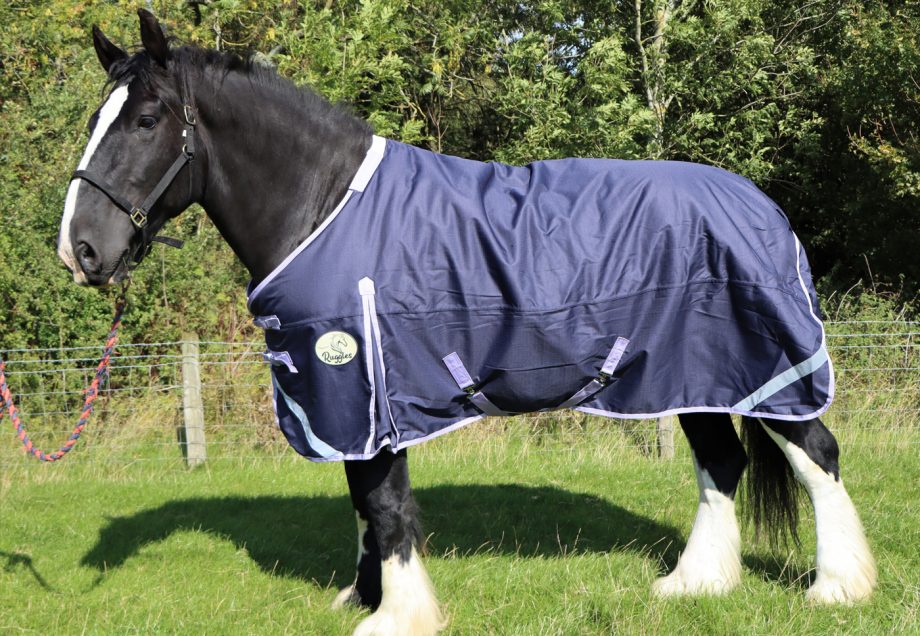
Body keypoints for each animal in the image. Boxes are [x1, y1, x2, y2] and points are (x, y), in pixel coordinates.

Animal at [58, 10, 876, 635]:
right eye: (99, 118)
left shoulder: (366, 383)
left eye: (146, 119)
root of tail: (760, 203)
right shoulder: (348, 402)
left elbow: (384, 503)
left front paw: (396, 615)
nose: (80, 249)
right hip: (693, 376)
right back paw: (695, 583)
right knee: (722, 463)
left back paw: (838, 587)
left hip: (767, 370)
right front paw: (367, 594)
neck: (326, 208)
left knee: (817, 455)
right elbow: (362, 499)